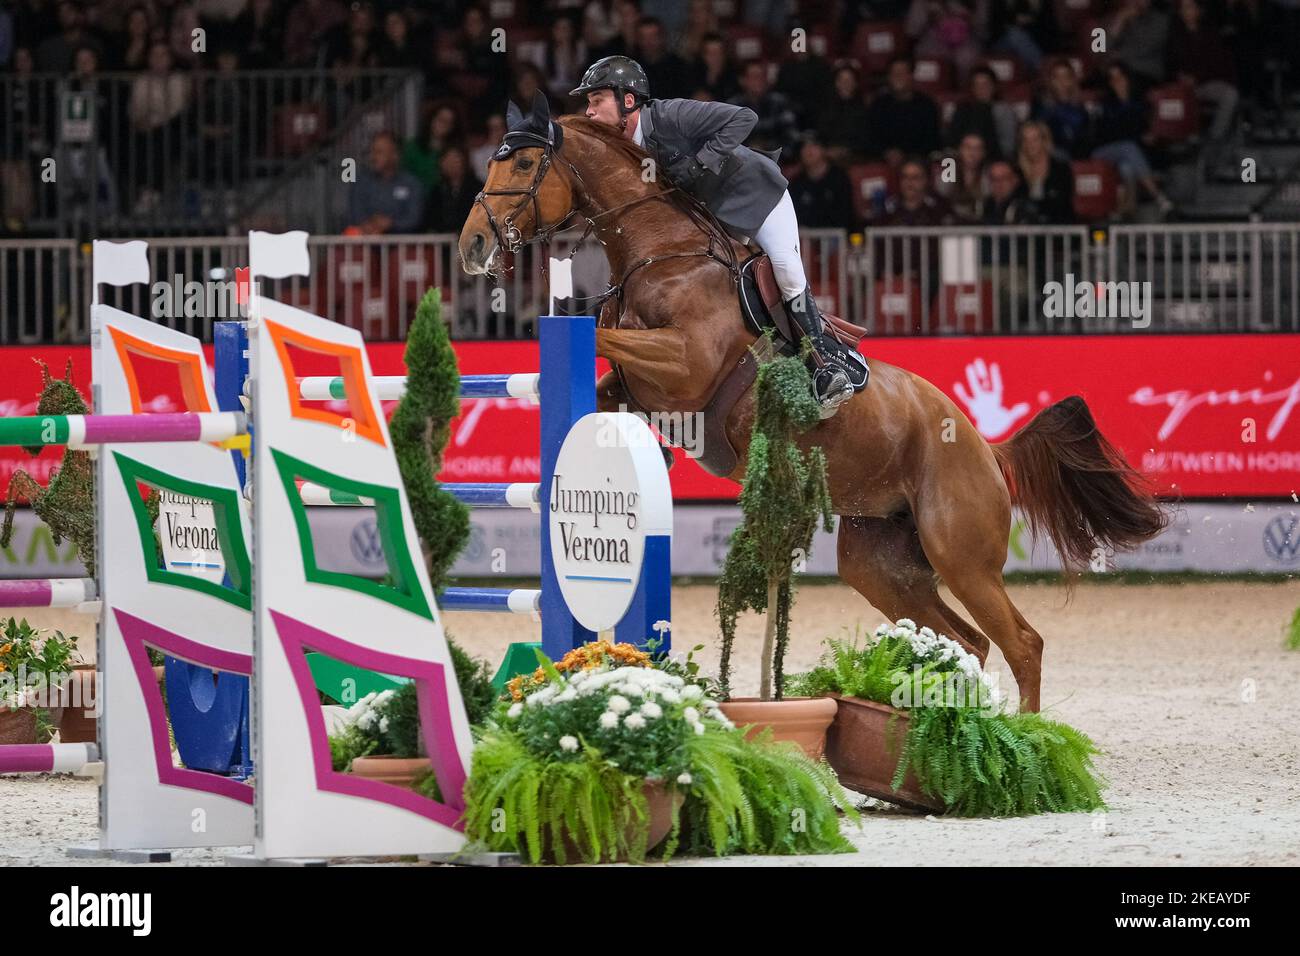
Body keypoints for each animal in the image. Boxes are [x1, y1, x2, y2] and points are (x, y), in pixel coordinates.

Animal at [459, 103, 1167, 712]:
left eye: (524, 164)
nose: (471, 246)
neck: (661, 254)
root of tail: (985, 447)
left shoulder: (684, 365)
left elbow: (601, 337)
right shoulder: (643, 390)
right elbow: (609, 383)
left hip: (961, 554)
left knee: (1022, 643)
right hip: (882, 564)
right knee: (965, 641)